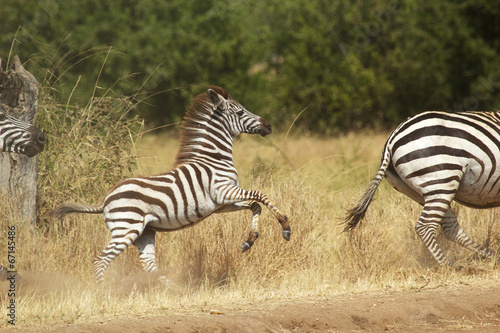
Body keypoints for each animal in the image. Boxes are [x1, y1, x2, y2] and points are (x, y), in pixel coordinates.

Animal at [50, 86, 292, 282]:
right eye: (240, 112)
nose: (269, 126)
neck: (214, 158)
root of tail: (106, 200)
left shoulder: (221, 204)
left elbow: (255, 205)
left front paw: (249, 241)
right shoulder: (222, 191)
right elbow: (261, 196)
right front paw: (285, 226)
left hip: (144, 232)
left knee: (148, 264)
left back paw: (171, 289)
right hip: (126, 228)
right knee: (100, 260)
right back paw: (105, 293)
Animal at [346, 110, 500, 266]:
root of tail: (392, 138)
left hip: (419, 190)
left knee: (450, 228)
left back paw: (490, 257)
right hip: (441, 180)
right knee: (426, 227)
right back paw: (449, 266)